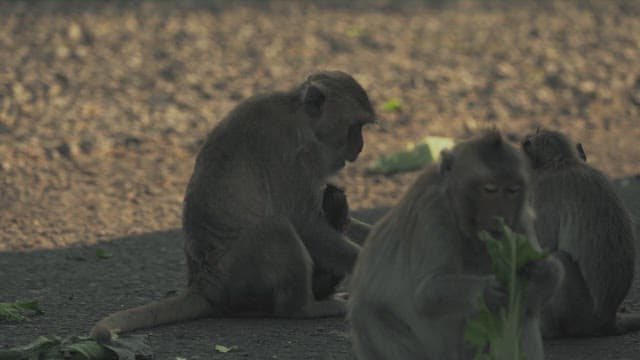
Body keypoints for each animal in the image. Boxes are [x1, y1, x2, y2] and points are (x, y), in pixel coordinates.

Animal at [89, 70, 376, 340]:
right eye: (355, 127)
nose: (360, 146)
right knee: (276, 226)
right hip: (238, 274)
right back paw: (303, 308)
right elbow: (304, 223)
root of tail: (204, 285)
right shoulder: (292, 153)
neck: (300, 118)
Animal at [348, 130, 564, 360]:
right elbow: (428, 291)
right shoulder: (433, 210)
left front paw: (542, 272)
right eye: (490, 189)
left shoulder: (520, 218)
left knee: (524, 308)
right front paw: (488, 291)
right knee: (366, 313)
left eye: (512, 190)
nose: (501, 214)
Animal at [524, 129, 636, 338]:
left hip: (579, 311)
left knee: (557, 259)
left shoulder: (544, 191)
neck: (562, 162)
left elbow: (545, 246)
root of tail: (607, 319)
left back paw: (548, 331)